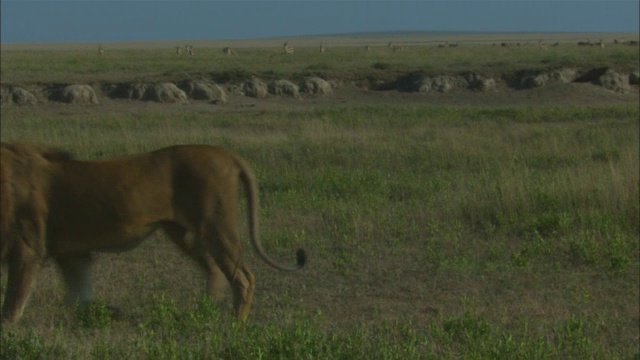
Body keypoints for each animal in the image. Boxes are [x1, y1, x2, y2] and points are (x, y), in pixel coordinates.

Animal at [0, 142, 306, 324]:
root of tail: (226, 154)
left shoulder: (27, 248)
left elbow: (13, 300)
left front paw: (8, 329)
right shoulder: (71, 253)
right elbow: (81, 291)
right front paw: (101, 314)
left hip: (216, 226)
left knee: (243, 277)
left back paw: (235, 323)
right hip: (183, 233)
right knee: (214, 271)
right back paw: (204, 310)